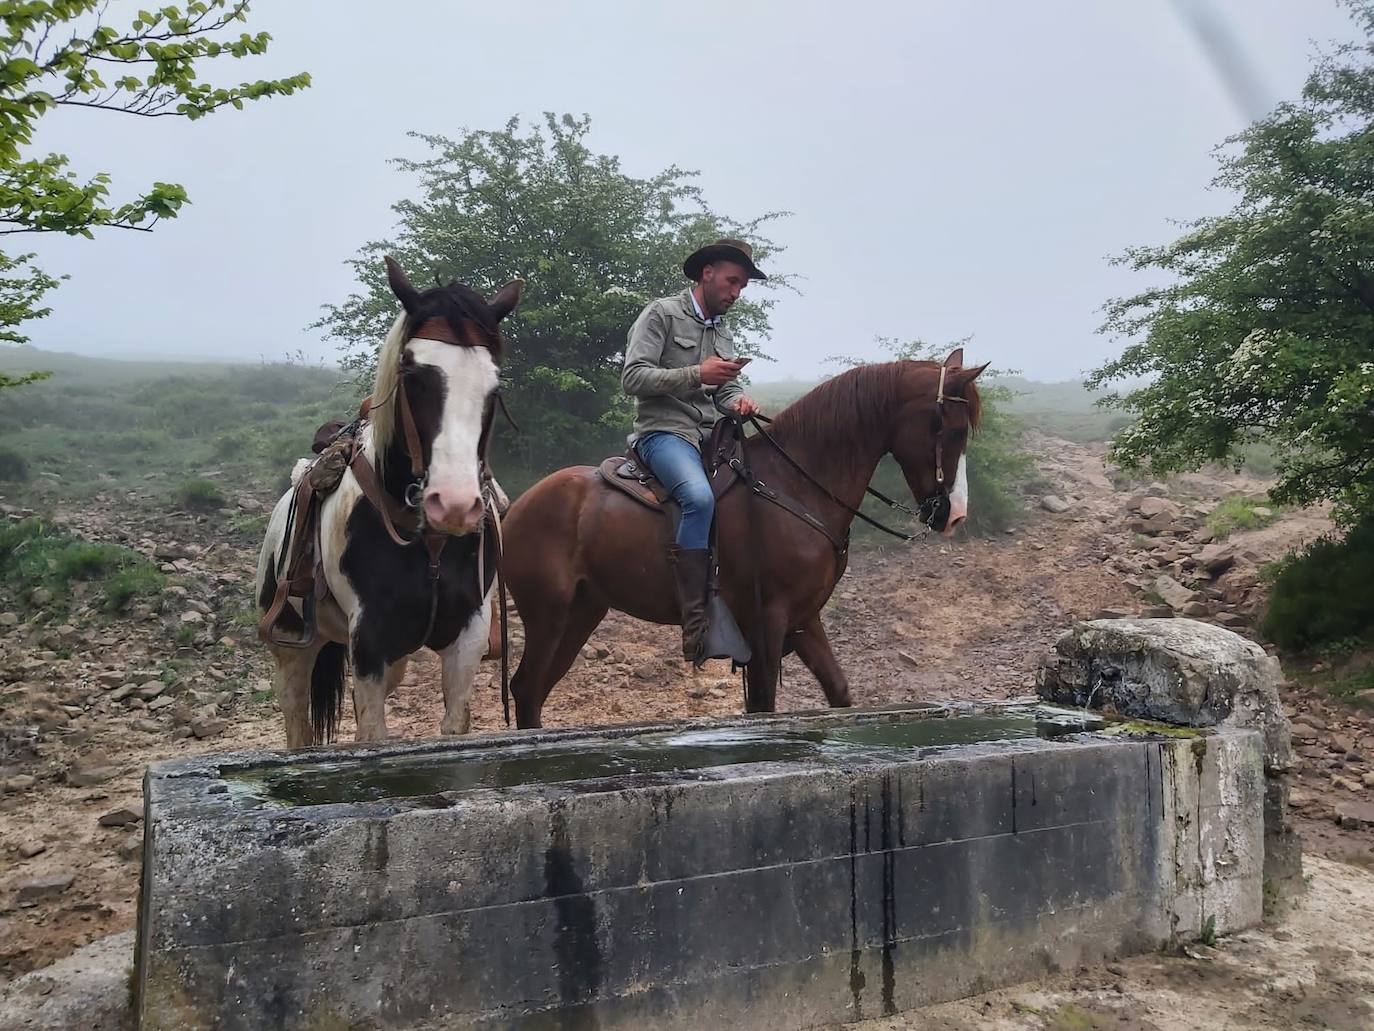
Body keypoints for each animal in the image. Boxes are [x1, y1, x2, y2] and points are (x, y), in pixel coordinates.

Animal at [254, 257, 519, 742]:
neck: (429, 544)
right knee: (298, 725)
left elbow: (451, 725)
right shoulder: (370, 643)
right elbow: (373, 735)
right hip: (292, 648)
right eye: (412, 374)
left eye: (494, 386)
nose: (454, 504)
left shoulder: (467, 636)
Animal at [500, 351, 983, 731]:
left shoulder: (804, 618)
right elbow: (764, 705)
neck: (794, 483)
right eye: (952, 430)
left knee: (535, 691)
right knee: (526, 687)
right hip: (548, 615)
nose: (955, 514)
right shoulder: (767, 620)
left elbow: (839, 691)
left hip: (583, 612)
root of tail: (518, 507)